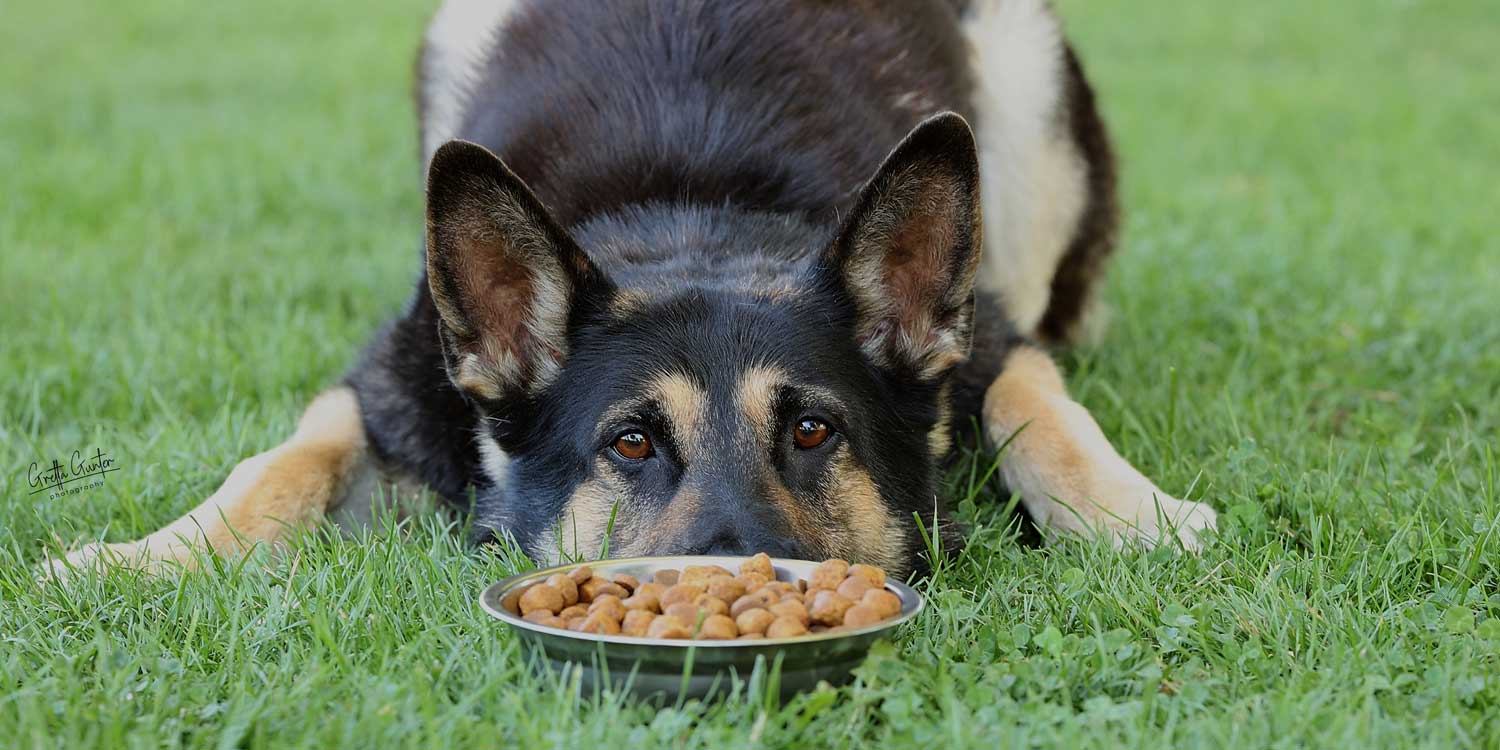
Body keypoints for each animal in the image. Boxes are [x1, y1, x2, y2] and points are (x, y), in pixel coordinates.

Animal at [46, 0, 1218, 579]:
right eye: (632, 444)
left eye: (813, 432)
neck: (691, 209)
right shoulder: (392, 376)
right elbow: (278, 464)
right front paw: (145, 558)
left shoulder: (995, 345)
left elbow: (1039, 407)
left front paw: (1133, 513)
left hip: (1029, 96)